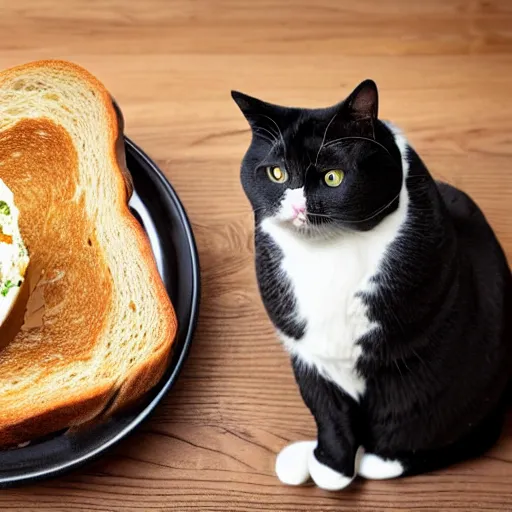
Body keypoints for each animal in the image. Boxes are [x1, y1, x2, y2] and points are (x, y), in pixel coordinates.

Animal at [233, 81, 512, 492]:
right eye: (277, 174)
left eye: (333, 177)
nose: (299, 208)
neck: (327, 255)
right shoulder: (307, 354)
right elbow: (328, 412)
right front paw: (330, 464)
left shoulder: (395, 357)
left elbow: (396, 415)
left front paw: (346, 467)